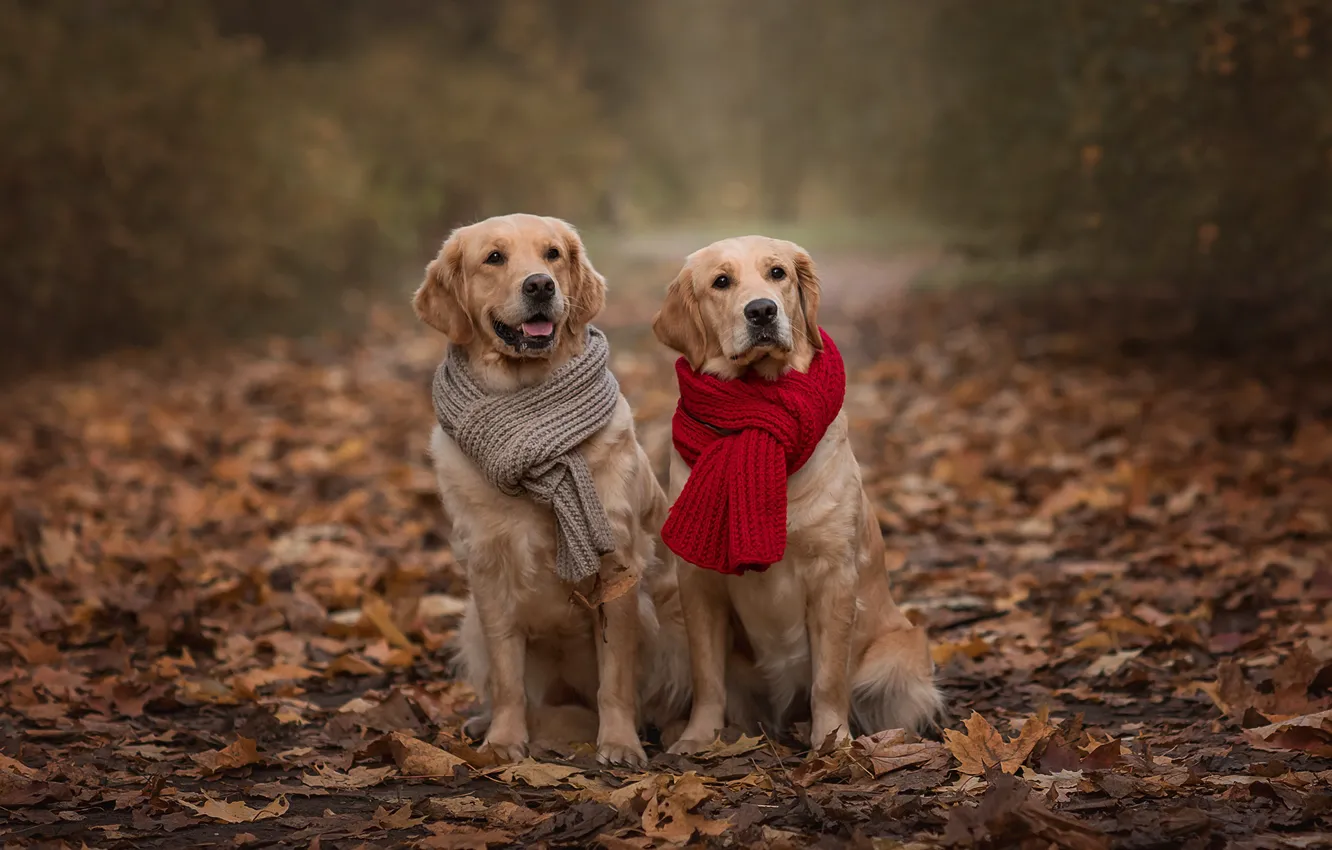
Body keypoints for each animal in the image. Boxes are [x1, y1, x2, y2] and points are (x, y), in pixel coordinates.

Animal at [412, 213, 687, 767]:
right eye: (494, 258)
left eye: (553, 254)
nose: (540, 285)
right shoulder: (488, 572)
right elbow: (507, 678)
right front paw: (503, 740)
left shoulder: (618, 569)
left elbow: (615, 679)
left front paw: (619, 743)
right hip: (469, 621)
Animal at [650, 237, 943, 756]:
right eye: (721, 282)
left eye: (778, 273)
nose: (762, 311)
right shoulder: (698, 581)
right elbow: (708, 676)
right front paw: (697, 738)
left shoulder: (834, 577)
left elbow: (828, 677)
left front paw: (833, 740)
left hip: (903, 650)